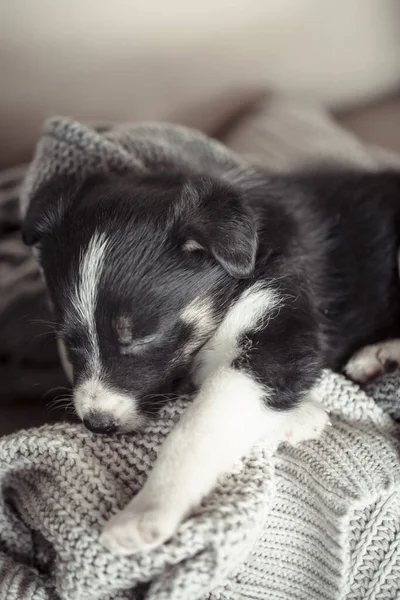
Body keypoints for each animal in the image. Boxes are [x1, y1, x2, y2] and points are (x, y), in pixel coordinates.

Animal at [21, 158, 400, 552]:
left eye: (143, 337)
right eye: (68, 339)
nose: (98, 423)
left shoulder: (278, 326)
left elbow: (202, 423)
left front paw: (147, 511)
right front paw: (301, 416)